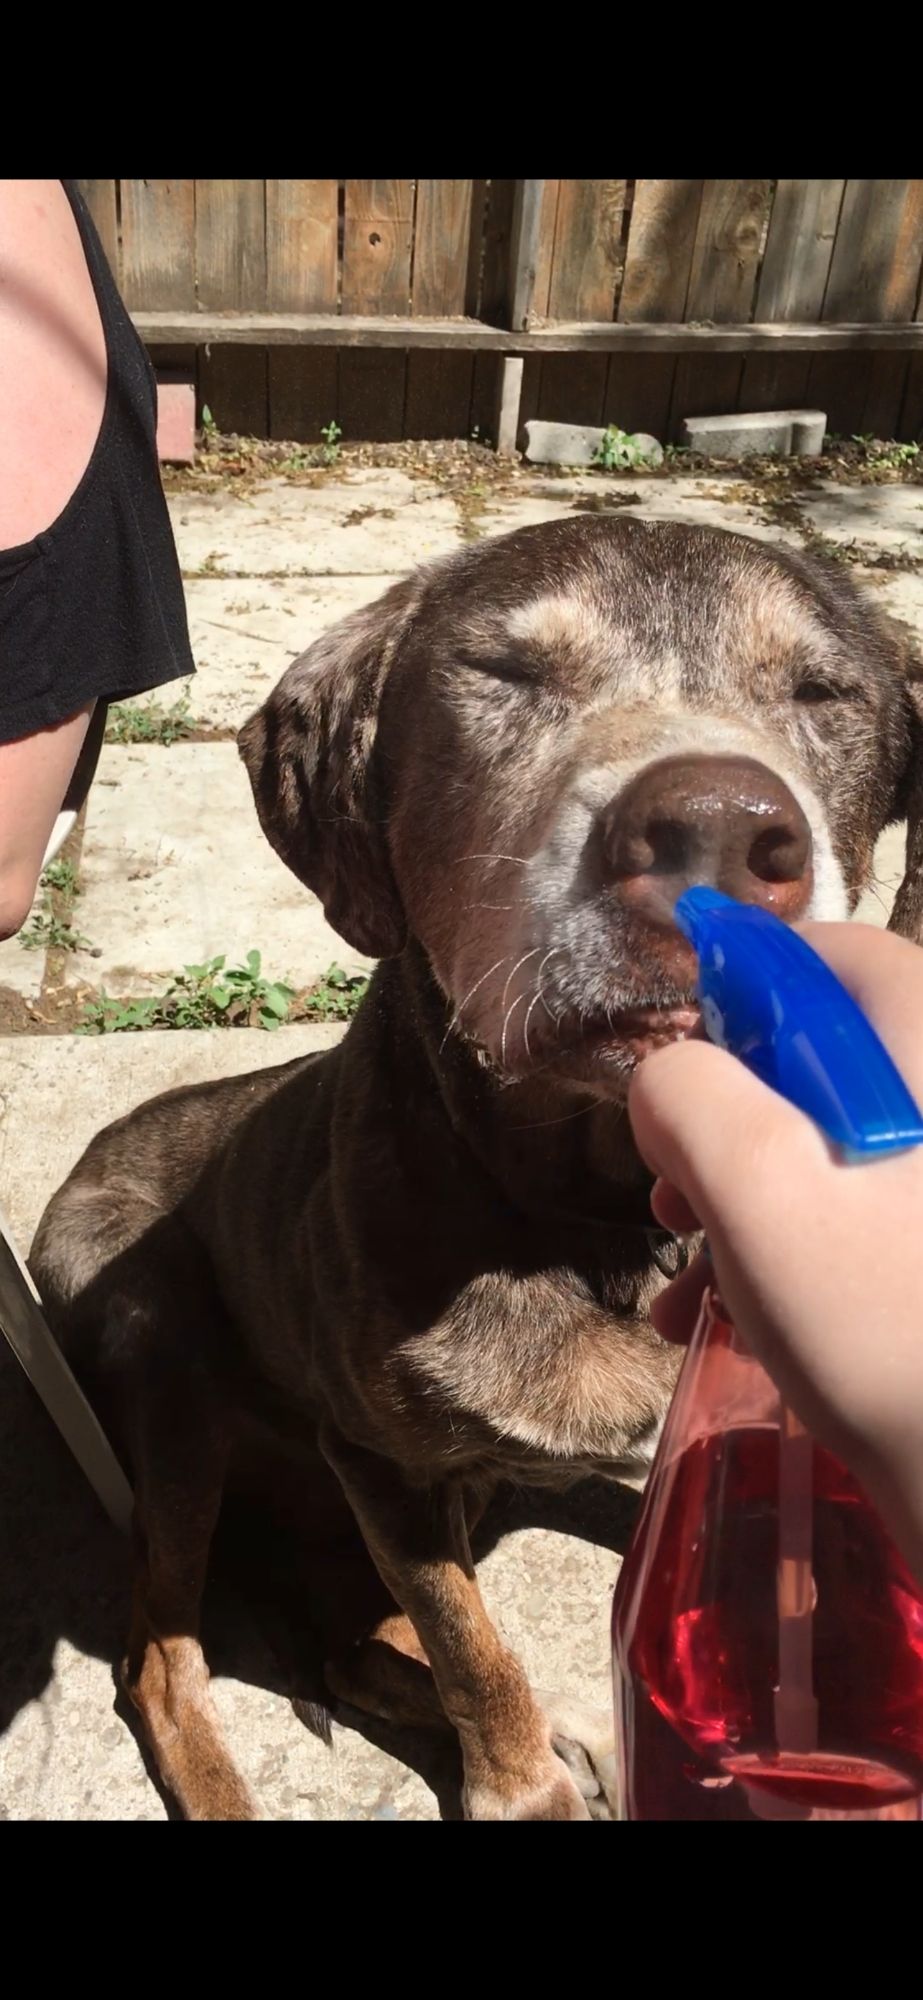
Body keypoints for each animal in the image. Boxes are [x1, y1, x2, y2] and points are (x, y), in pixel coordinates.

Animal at [30, 512, 923, 1816]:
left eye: (822, 691)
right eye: (500, 672)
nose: (716, 822)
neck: (595, 1213)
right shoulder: (376, 1460)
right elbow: (469, 1645)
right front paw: (517, 1781)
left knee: (352, 1646)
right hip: (167, 1368)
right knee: (163, 1660)